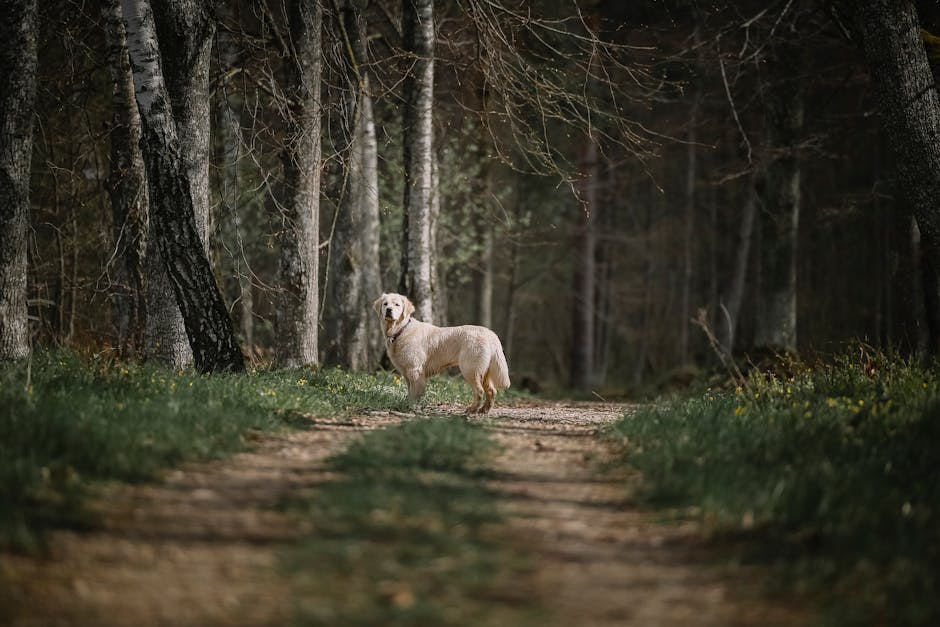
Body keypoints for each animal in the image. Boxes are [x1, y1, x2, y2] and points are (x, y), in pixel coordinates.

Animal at [372, 294, 510, 414]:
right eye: (385, 304)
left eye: (397, 304)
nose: (389, 310)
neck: (401, 329)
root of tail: (490, 333)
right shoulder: (407, 373)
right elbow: (410, 391)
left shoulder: (415, 370)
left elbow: (415, 392)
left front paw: (412, 406)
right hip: (485, 371)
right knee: (491, 391)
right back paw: (484, 410)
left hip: (470, 369)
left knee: (480, 391)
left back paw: (472, 409)